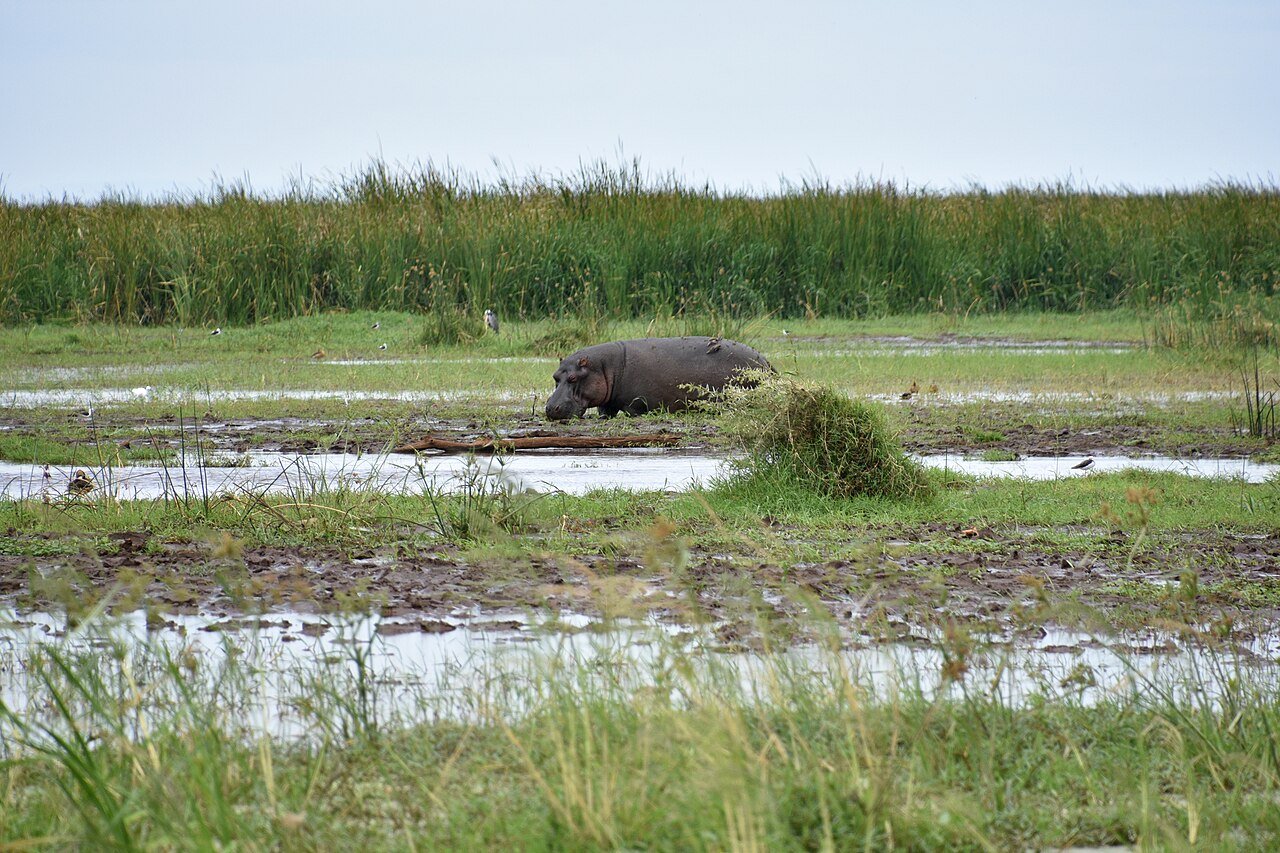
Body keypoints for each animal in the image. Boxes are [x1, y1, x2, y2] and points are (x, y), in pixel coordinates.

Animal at [545, 336, 772, 420]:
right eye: (555, 376)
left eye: (573, 378)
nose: (550, 408)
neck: (605, 367)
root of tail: (769, 365)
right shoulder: (607, 403)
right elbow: (605, 411)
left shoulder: (634, 404)